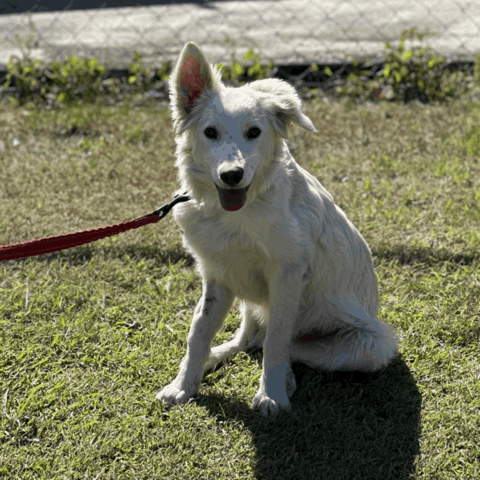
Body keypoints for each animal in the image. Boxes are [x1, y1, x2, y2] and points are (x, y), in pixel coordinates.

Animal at [158, 42, 398, 416]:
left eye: (254, 132)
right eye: (210, 132)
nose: (231, 175)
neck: (238, 214)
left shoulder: (287, 277)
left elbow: (276, 341)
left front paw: (271, 394)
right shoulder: (219, 275)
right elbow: (198, 333)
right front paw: (183, 385)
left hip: (373, 344)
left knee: (277, 344)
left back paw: (284, 378)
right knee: (248, 338)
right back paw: (218, 356)